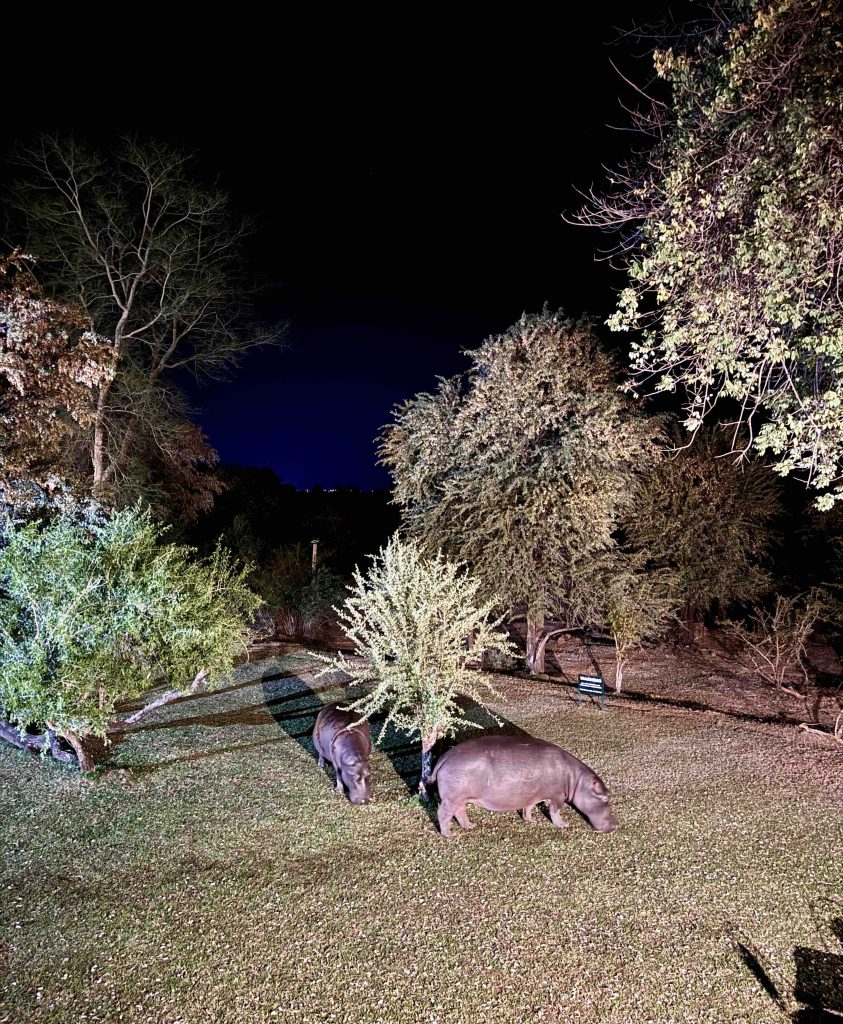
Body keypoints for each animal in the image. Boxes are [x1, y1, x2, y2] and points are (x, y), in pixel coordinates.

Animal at [430, 734, 618, 837]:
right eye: (604, 798)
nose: (616, 824)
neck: (576, 780)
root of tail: (444, 758)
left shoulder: (533, 795)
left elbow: (529, 807)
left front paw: (531, 820)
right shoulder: (557, 797)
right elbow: (555, 811)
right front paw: (564, 825)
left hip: (461, 797)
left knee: (460, 812)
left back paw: (470, 826)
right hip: (452, 798)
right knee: (443, 814)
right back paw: (449, 834)